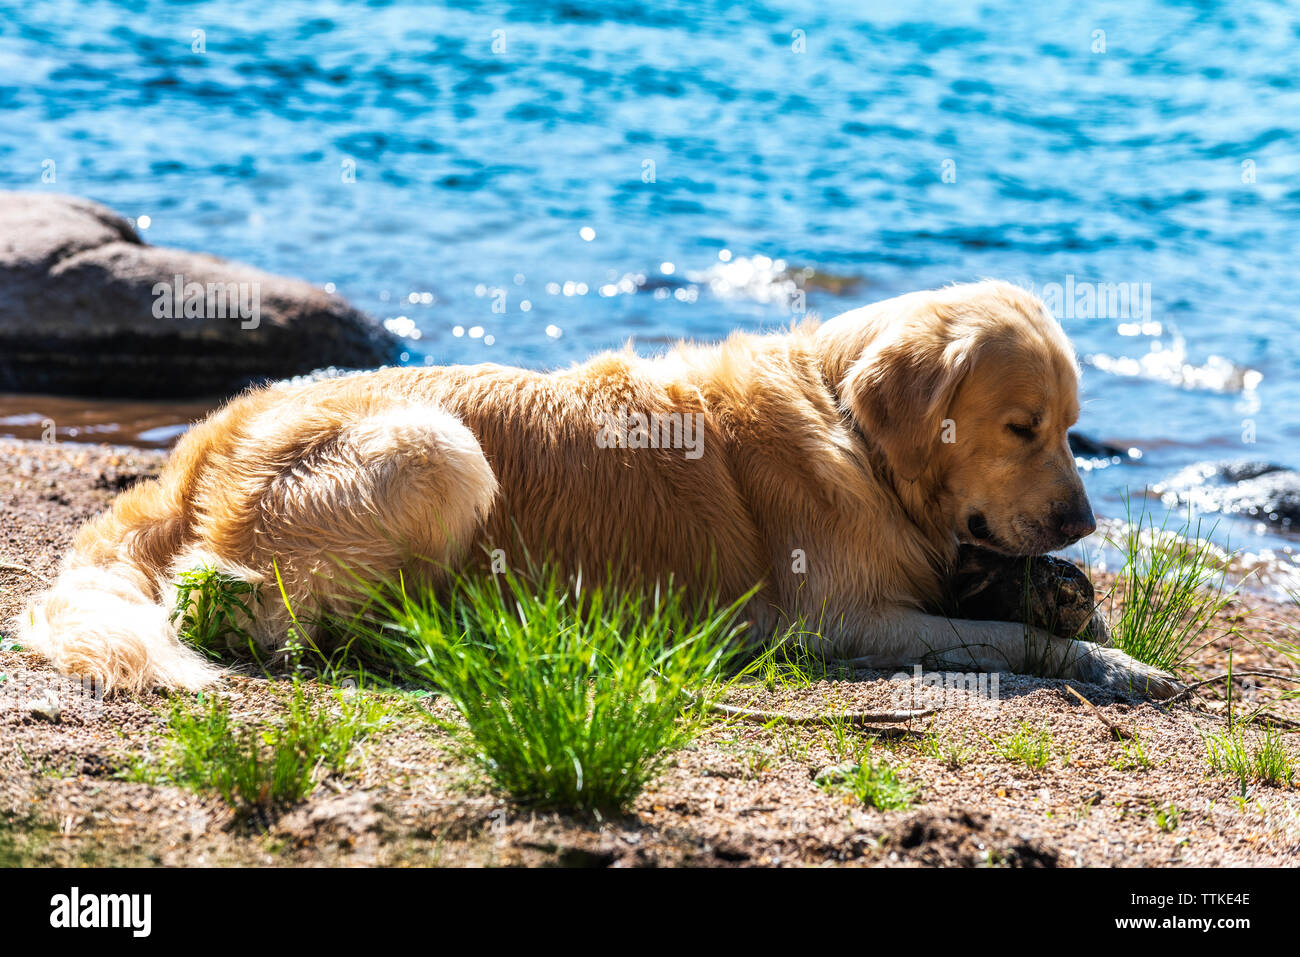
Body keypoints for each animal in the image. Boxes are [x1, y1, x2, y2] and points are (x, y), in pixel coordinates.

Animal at [20, 280, 1185, 696]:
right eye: (1021, 428)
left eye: (1072, 428)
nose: (1083, 520)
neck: (853, 433)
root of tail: (192, 450)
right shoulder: (845, 622)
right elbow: (1008, 641)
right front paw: (1114, 660)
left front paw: (1068, 603)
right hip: (440, 448)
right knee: (249, 615)